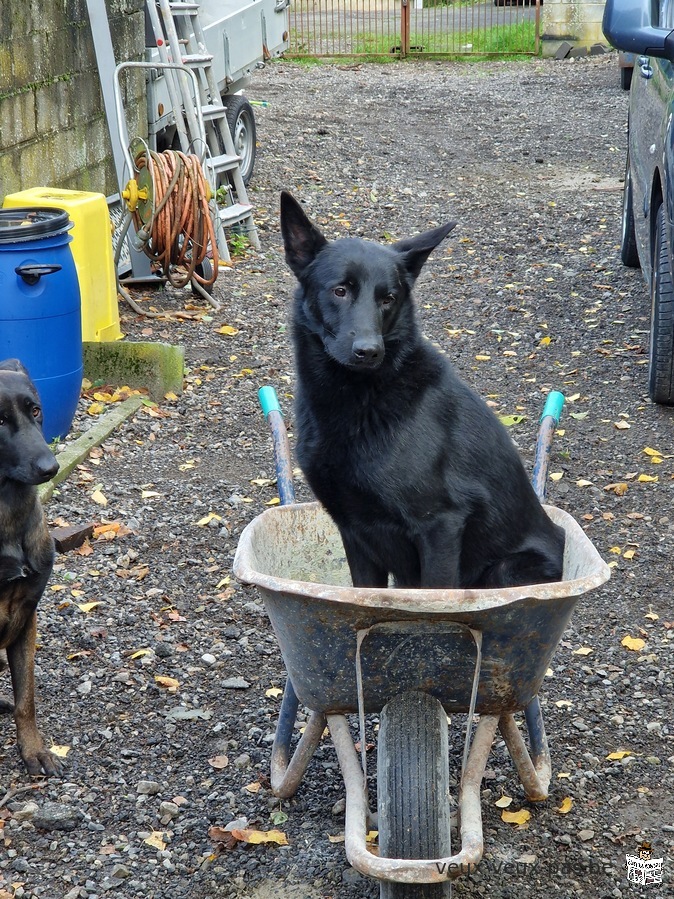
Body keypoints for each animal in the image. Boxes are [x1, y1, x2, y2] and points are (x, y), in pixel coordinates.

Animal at [280, 193, 564, 592]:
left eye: (388, 298)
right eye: (340, 291)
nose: (370, 352)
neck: (361, 398)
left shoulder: (440, 525)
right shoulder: (353, 532)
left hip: (504, 570)